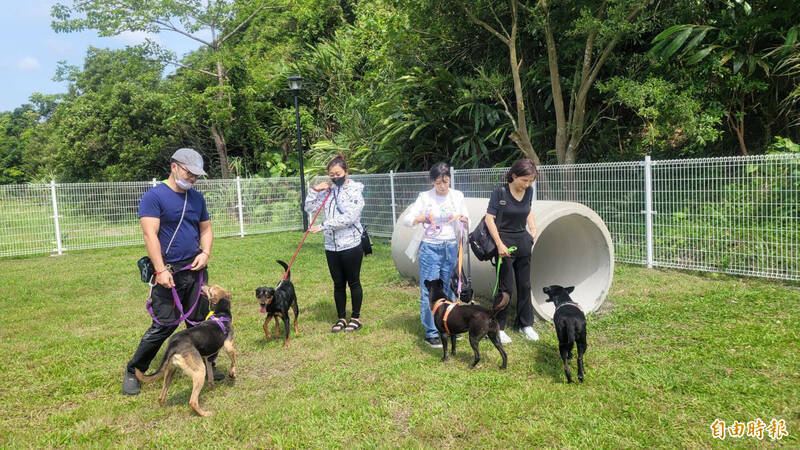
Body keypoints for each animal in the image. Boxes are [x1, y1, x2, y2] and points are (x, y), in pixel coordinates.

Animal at [133, 284, 234, 416]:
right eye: (210, 288)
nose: (202, 284)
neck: (220, 314)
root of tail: (173, 344)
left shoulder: (207, 358)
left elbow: (211, 376)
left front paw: (212, 388)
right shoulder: (229, 346)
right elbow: (233, 362)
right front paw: (232, 374)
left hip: (171, 370)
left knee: (161, 397)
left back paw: (164, 409)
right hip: (199, 372)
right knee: (192, 401)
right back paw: (204, 413)